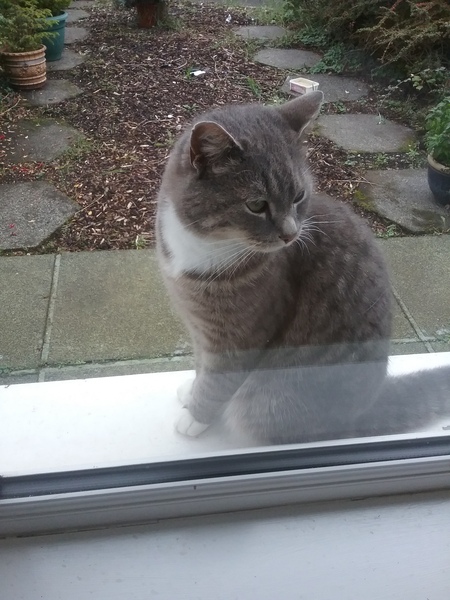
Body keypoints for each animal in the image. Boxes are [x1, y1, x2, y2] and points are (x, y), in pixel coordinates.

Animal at [156, 92, 450, 445]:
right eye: (256, 205)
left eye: (298, 196)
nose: (290, 234)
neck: (204, 246)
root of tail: (365, 410)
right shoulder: (199, 328)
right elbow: (202, 364)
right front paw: (191, 391)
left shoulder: (239, 337)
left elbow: (218, 380)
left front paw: (194, 417)